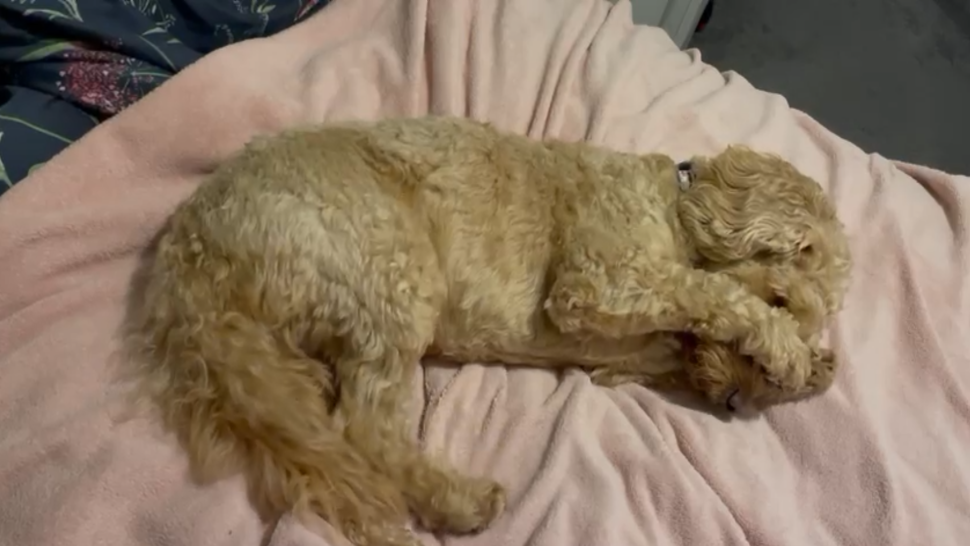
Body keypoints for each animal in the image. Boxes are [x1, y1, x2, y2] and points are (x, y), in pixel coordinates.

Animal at [129, 117, 848, 544]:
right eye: (779, 295)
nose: (734, 403)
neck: (673, 207)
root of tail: (192, 250)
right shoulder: (596, 280)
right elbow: (709, 293)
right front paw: (786, 350)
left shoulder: (621, 338)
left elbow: (672, 339)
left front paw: (808, 369)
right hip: (391, 270)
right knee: (364, 430)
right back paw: (458, 502)